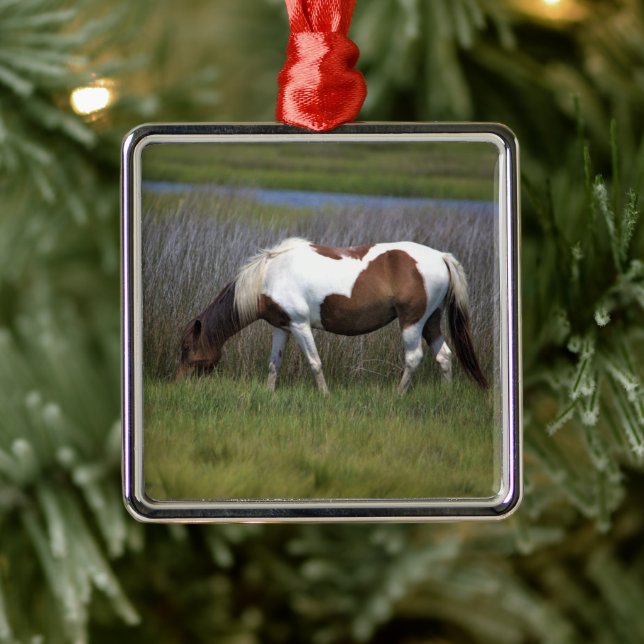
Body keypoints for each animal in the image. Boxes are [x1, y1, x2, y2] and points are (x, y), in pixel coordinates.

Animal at [177, 237, 487, 394]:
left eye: (187, 347)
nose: (180, 382)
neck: (270, 274)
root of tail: (441, 256)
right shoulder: (282, 327)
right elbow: (274, 364)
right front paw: (268, 394)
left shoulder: (300, 325)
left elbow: (314, 362)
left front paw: (325, 395)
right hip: (431, 321)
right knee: (443, 356)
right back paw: (446, 394)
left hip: (412, 321)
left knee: (414, 358)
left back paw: (398, 396)